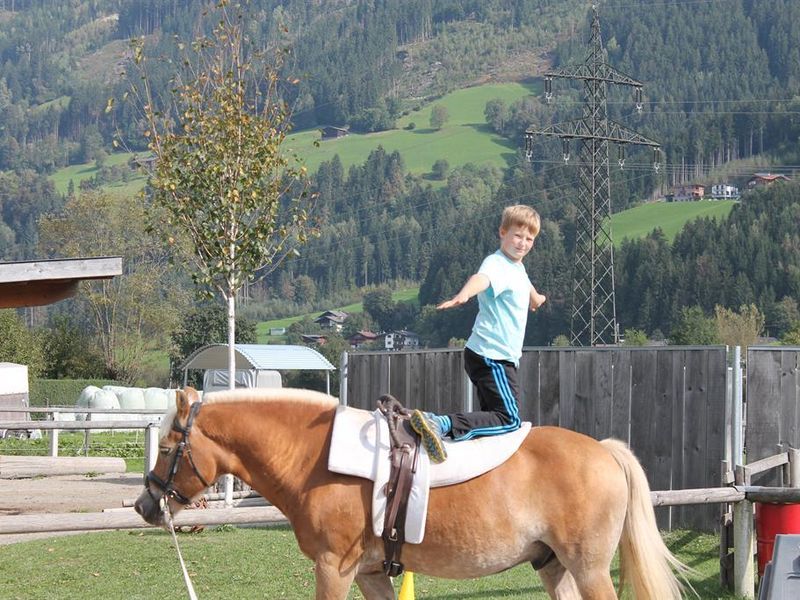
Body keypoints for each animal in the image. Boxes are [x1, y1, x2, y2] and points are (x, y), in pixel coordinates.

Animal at [134, 386, 684, 596]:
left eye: (169, 447)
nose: (144, 504)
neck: (312, 457)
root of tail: (605, 451)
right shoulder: (371, 574)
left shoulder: (333, 569)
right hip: (554, 567)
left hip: (589, 569)